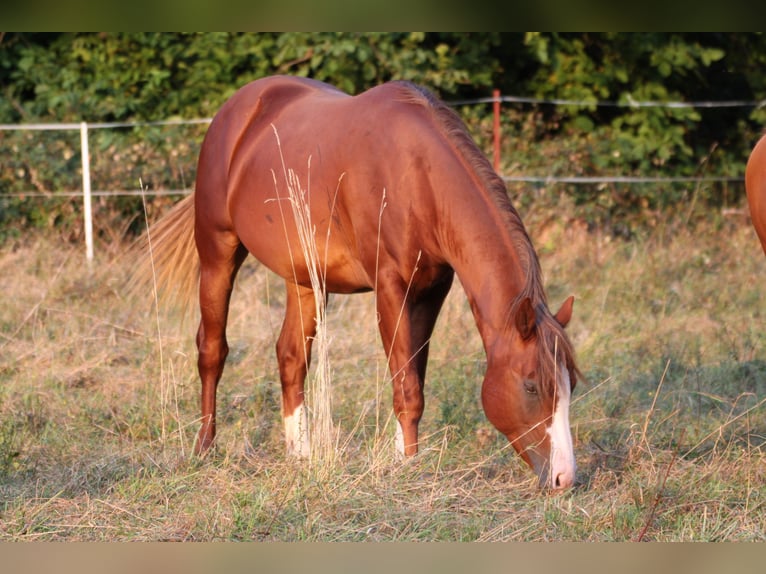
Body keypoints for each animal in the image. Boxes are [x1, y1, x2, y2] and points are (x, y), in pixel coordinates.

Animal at [138, 75, 584, 490]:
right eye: (531, 386)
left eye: (571, 385)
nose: (563, 478)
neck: (417, 176)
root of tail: (237, 109)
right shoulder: (390, 288)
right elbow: (407, 387)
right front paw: (409, 468)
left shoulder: (432, 291)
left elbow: (414, 376)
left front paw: (400, 459)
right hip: (218, 251)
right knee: (212, 350)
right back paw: (205, 448)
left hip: (304, 278)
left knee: (291, 357)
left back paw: (300, 454)